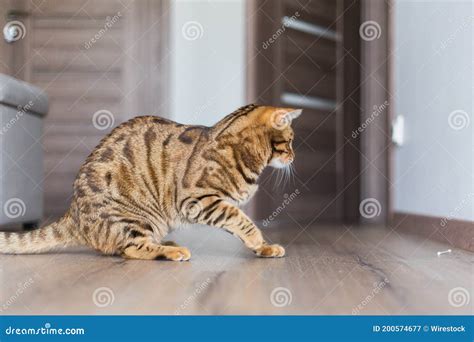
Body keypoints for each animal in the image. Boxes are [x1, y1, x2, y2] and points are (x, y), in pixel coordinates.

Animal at [0, 104, 302, 260]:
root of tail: (72, 213)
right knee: (131, 249)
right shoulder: (199, 200)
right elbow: (242, 221)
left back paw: (167, 242)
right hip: (132, 216)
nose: (294, 156)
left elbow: (238, 224)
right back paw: (171, 251)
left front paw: (261, 247)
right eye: (289, 140)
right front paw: (261, 243)